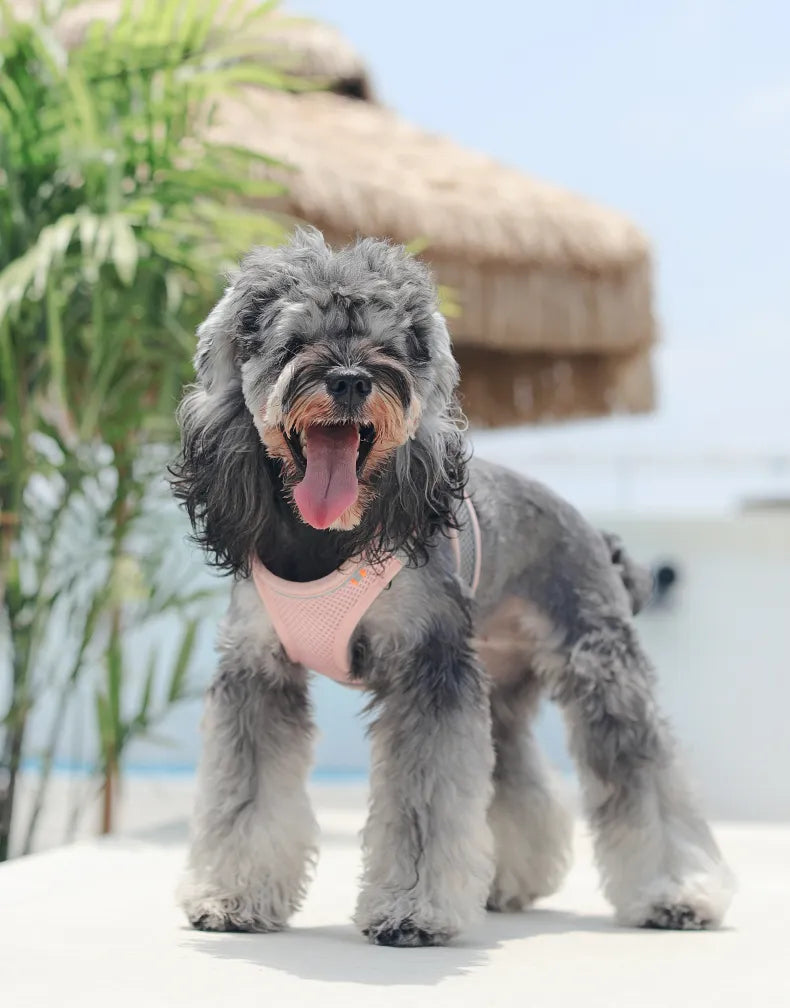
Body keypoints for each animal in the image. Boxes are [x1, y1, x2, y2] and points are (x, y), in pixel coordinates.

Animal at [171, 228, 733, 943]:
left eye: (390, 343)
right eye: (292, 342)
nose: (350, 379)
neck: (329, 537)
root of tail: (591, 530)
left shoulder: (428, 668)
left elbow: (425, 802)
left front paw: (414, 908)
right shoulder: (257, 671)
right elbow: (247, 796)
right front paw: (232, 895)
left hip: (601, 672)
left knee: (645, 774)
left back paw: (677, 892)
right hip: (499, 688)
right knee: (516, 779)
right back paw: (510, 881)